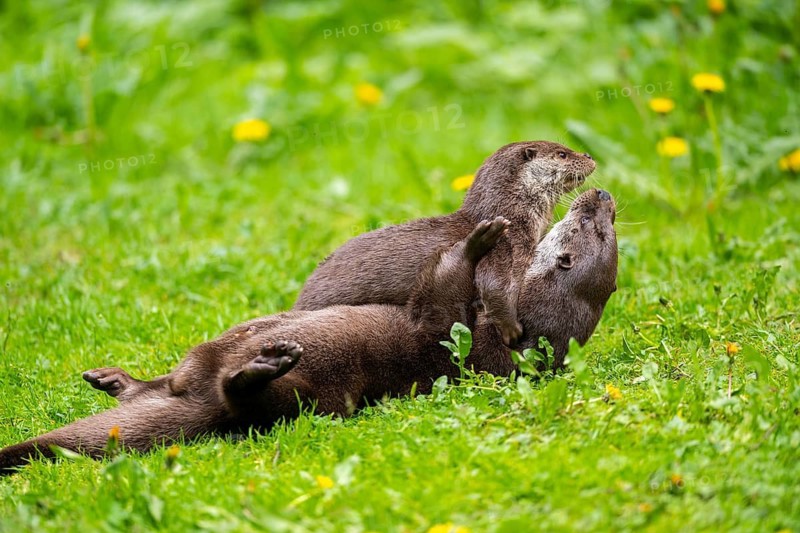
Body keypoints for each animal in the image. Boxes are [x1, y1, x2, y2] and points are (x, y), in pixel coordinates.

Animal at [0, 190, 617, 475]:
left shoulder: (448, 324)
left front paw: (479, 239)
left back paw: (262, 368)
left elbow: (441, 283)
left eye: (593, 231)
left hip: (308, 392)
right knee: (162, 387)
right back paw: (115, 381)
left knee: (240, 405)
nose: (604, 197)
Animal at [294, 141, 596, 345]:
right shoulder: (505, 247)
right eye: (562, 154)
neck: (514, 218)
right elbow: (495, 288)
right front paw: (512, 331)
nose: (590, 156)